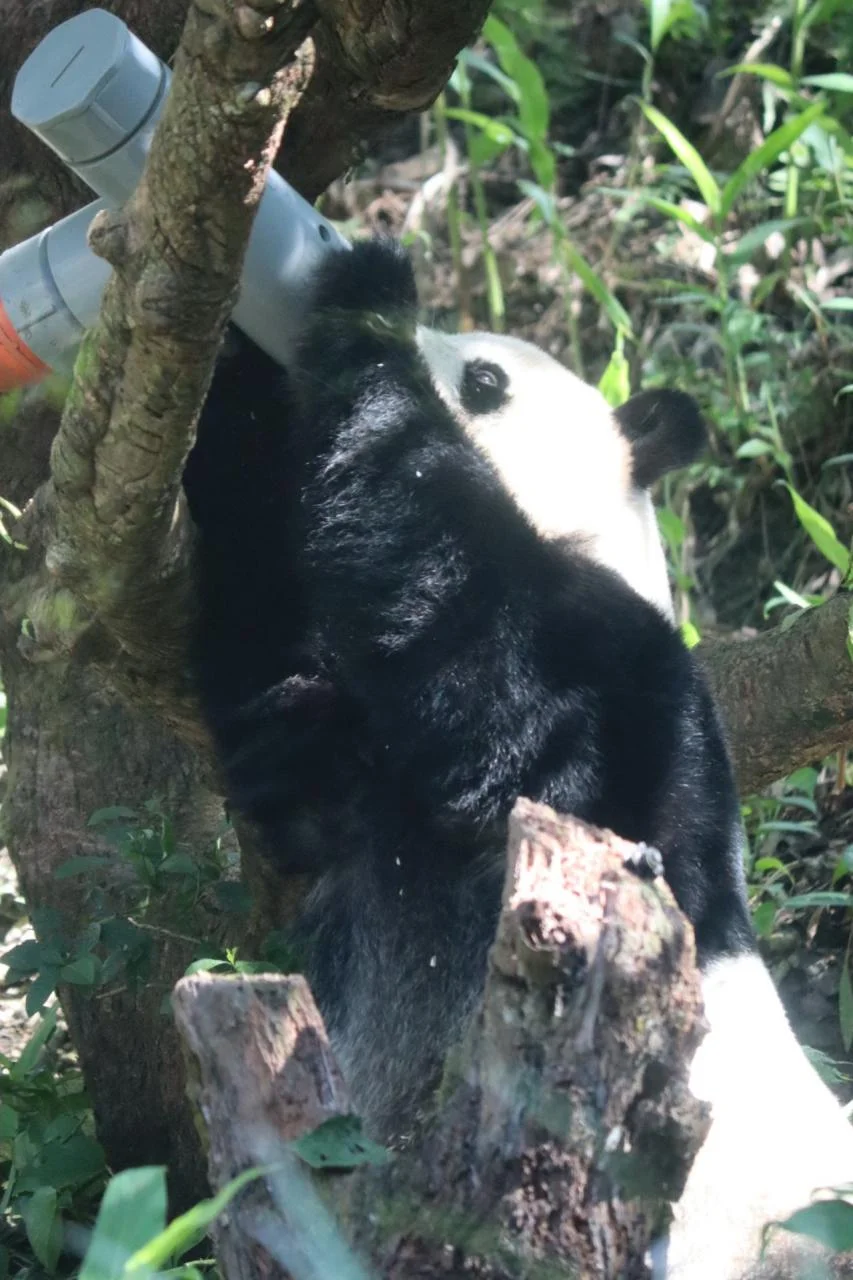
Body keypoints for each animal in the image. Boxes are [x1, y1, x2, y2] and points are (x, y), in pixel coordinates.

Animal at [183, 238, 853, 1279]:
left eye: (484, 380)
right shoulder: (339, 759)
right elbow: (272, 699)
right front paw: (234, 365)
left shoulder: (617, 693)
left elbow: (482, 666)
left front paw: (364, 306)